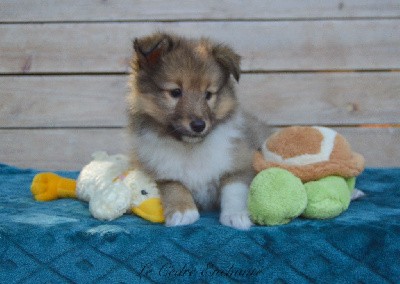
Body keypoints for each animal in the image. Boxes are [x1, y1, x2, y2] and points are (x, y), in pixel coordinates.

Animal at [126, 32, 268, 230]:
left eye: (208, 94)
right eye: (175, 92)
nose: (199, 125)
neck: (191, 147)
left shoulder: (241, 162)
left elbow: (234, 189)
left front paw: (236, 216)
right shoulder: (159, 171)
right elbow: (174, 186)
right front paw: (183, 212)